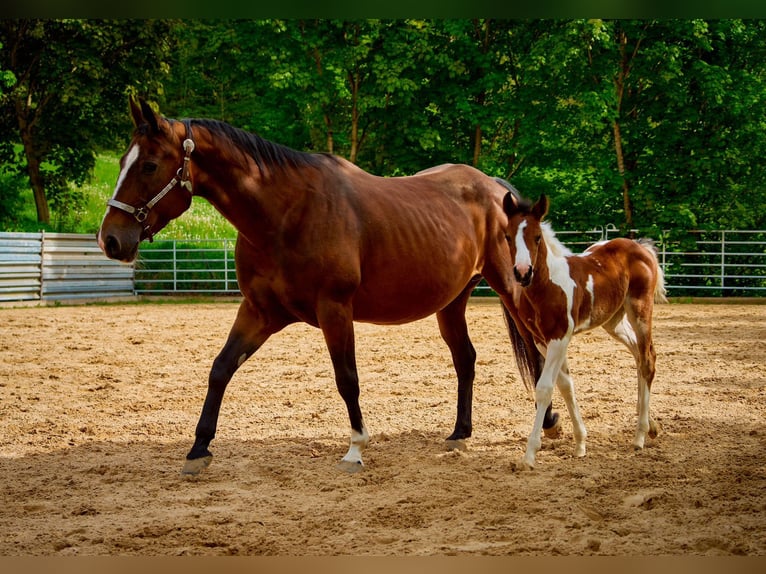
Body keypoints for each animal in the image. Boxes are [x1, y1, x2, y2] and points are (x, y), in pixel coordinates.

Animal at [99, 98, 560, 476]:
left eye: (148, 165)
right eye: (121, 160)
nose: (110, 239)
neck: (286, 213)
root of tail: (497, 189)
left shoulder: (334, 309)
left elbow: (347, 378)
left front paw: (356, 448)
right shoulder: (259, 312)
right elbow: (220, 368)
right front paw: (198, 449)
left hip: (511, 290)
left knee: (536, 353)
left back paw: (550, 424)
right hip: (451, 303)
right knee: (465, 358)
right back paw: (461, 432)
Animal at [500, 194, 668, 472]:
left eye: (537, 237)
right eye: (507, 236)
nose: (523, 272)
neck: (546, 286)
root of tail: (642, 248)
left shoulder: (559, 337)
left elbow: (545, 388)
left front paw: (530, 454)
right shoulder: (542, 340)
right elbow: (565, 385)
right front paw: (580, 444)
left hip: (640, 311)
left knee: (647, 359)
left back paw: (640, 435)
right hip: (613, 321)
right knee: (638, 355)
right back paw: (650, 425)